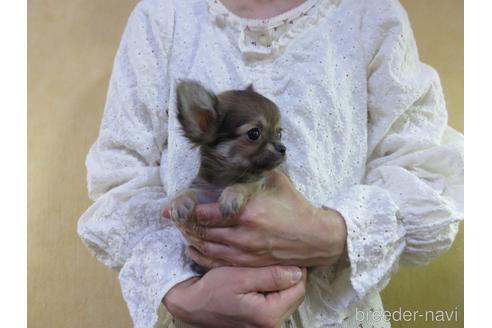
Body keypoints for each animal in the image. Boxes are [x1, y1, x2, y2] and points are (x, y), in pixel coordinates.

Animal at [169, 80, 286, 222]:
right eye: (254, 134)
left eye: (279, 134)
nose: (283, 148)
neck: (225, 176)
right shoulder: (207, 192)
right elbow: (189, 191)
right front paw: (179, 201)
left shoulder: (258, 183)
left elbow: (243, 185)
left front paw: (232, 196)